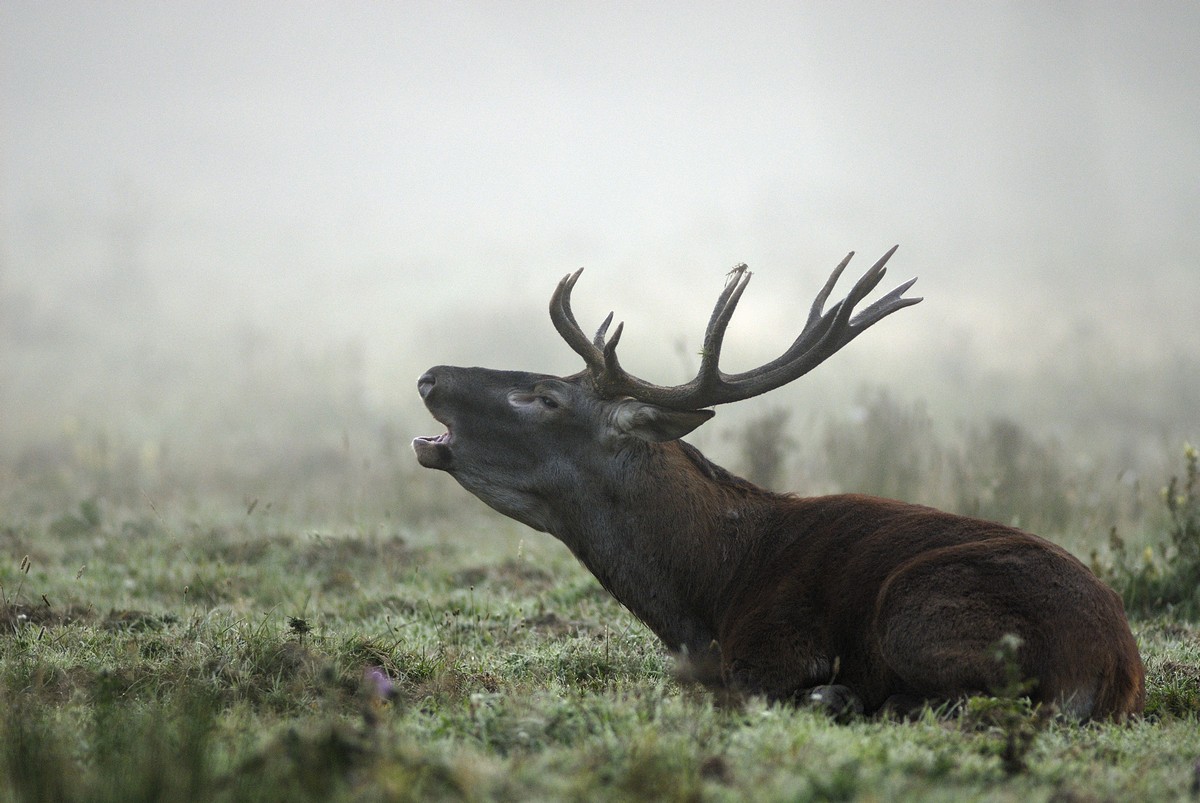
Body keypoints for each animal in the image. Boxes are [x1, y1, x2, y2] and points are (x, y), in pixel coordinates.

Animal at [412, 246, 1142, 720]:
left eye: (545, 398)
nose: (429, 376)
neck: (705, 592)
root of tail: (1111, 667)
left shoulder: (775, 647)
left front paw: (833, 694)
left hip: (922, 610)